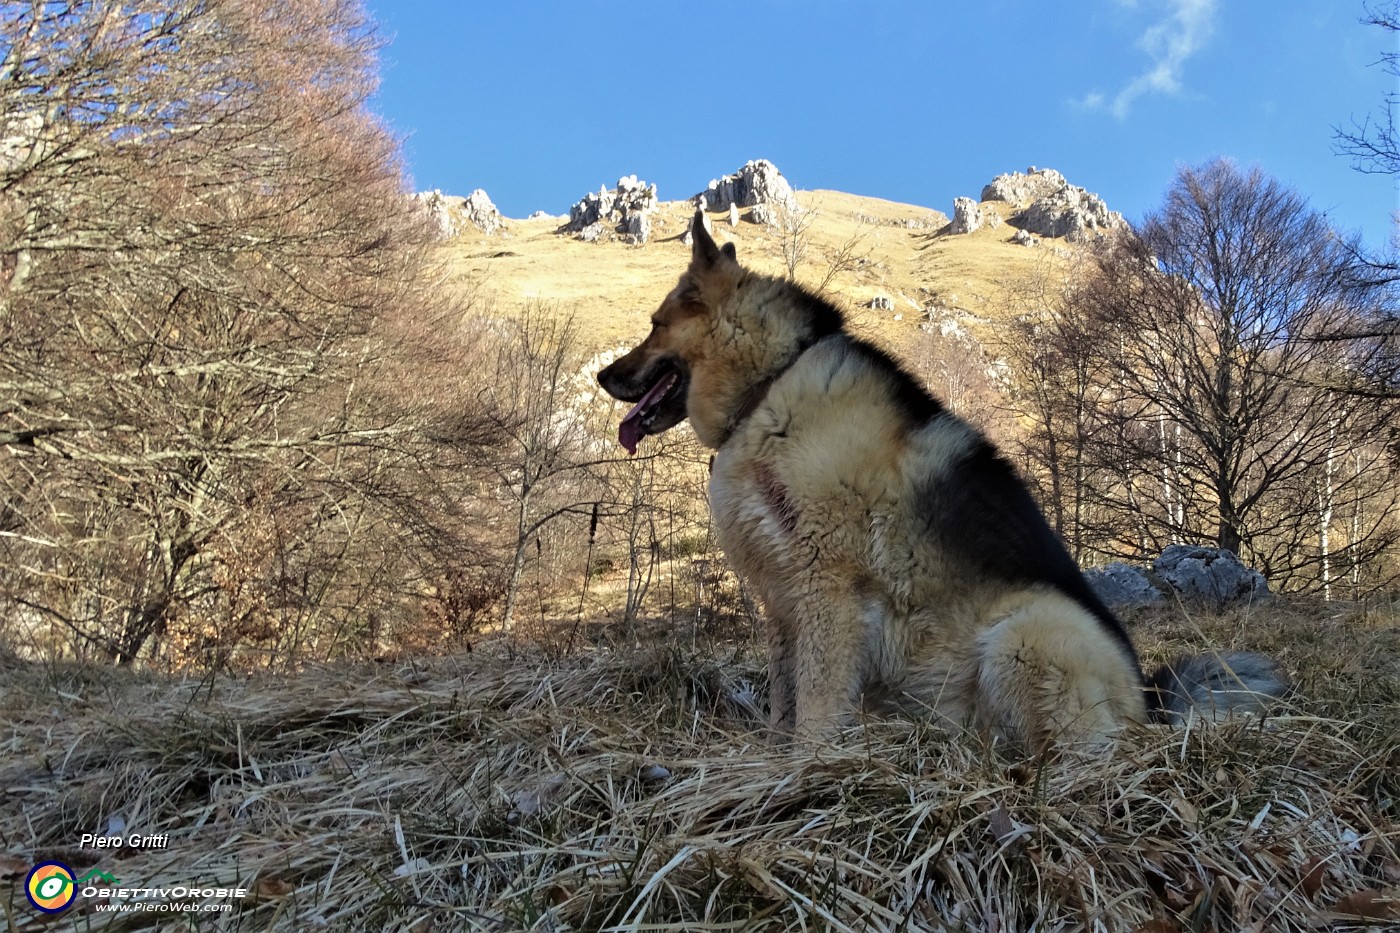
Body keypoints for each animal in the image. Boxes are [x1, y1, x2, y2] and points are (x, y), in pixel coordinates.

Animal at [596, 210, 1282, 750]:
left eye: (655, 324)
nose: (603, 376)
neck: (769, 384)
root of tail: (1150, 702)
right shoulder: (785, 605)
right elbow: (784, 702)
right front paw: (770, 763)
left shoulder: (826, 591)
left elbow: (815, 706)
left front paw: (805, 772)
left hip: (1022, 634)